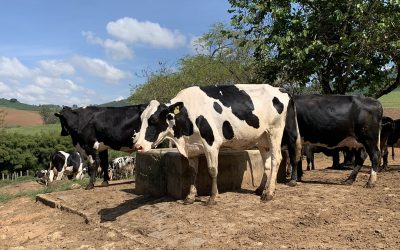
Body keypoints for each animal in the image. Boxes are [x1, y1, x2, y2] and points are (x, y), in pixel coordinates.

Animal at [134, 84, 300, 205]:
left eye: (154, 120)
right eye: (141, 119)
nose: (138, 146)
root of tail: (281, 89)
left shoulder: (211, 143)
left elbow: (213, 170)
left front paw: (213, 197)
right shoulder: (192, 149)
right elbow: (192, 173)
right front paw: (190, 197)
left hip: (275, 130)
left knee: (276, 159)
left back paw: (269, 193)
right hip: (262, 138)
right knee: (266, 163)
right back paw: (261, 189)